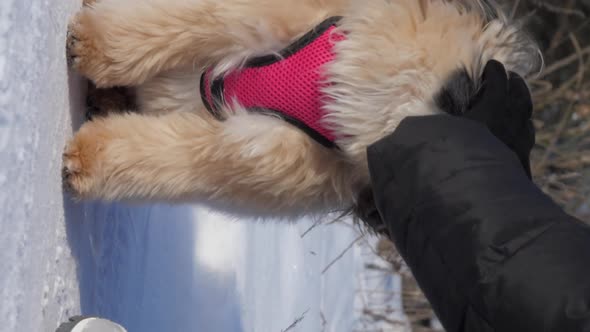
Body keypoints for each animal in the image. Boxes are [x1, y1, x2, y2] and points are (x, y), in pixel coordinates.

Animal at [63, 0, 540, 219]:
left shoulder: (255, 155)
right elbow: (172, 24)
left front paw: (88, 160)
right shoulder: (247, 17)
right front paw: (93, 44)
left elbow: (171, 157)